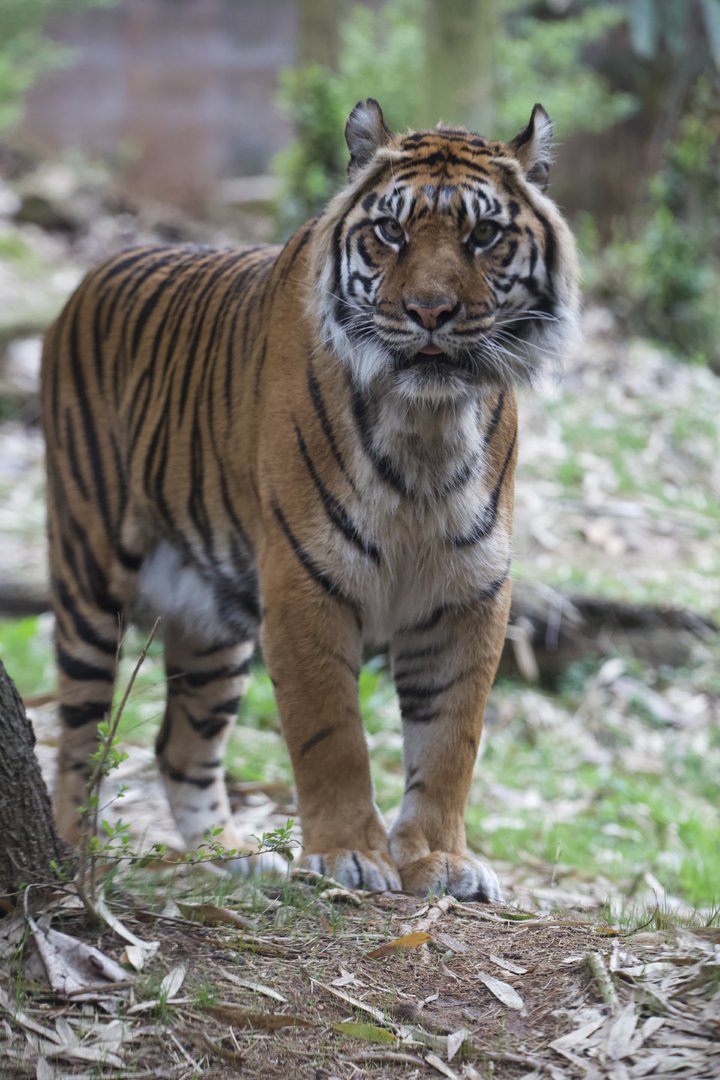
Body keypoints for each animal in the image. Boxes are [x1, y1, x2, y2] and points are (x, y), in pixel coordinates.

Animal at [42, 98, 579, 900]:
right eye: (391, 232)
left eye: (483, 235)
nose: (429, 311)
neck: (428, 425)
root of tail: (93, 273)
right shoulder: (304, 579)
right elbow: (331, 733)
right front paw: (348, 855)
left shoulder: (471, 590)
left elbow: (451, 738)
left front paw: (441, 860)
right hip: (89, 574)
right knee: (78, 734)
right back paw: (74, 857)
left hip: (213, 622)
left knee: (179, 745)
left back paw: (230, 855)